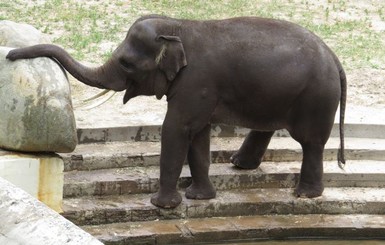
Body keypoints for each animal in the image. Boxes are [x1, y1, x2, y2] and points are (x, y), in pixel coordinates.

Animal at [6, 14, 344, 209]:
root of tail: (335, 58)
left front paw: (161, 205)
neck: (178, 26)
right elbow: (198, 134)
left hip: (316, 97)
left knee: (311, 142)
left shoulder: (197, 80)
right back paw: (240, 165)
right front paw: (199, 198)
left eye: (126, 63)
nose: (10, 55)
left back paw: (305, 195)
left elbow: (176, 128)